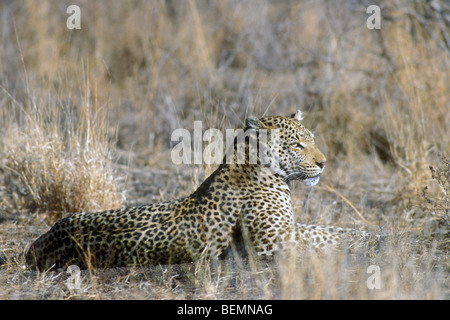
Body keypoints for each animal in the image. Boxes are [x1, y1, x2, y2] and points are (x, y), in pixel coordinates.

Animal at [25, 110, 370, 270]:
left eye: (311, 138)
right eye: (298, 144)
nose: (324, 163)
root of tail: (41, 241)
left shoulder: (288, 229)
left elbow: (324, 229)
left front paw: (367, 233)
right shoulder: (273, 241)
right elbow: (322, 236)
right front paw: (366, 239)